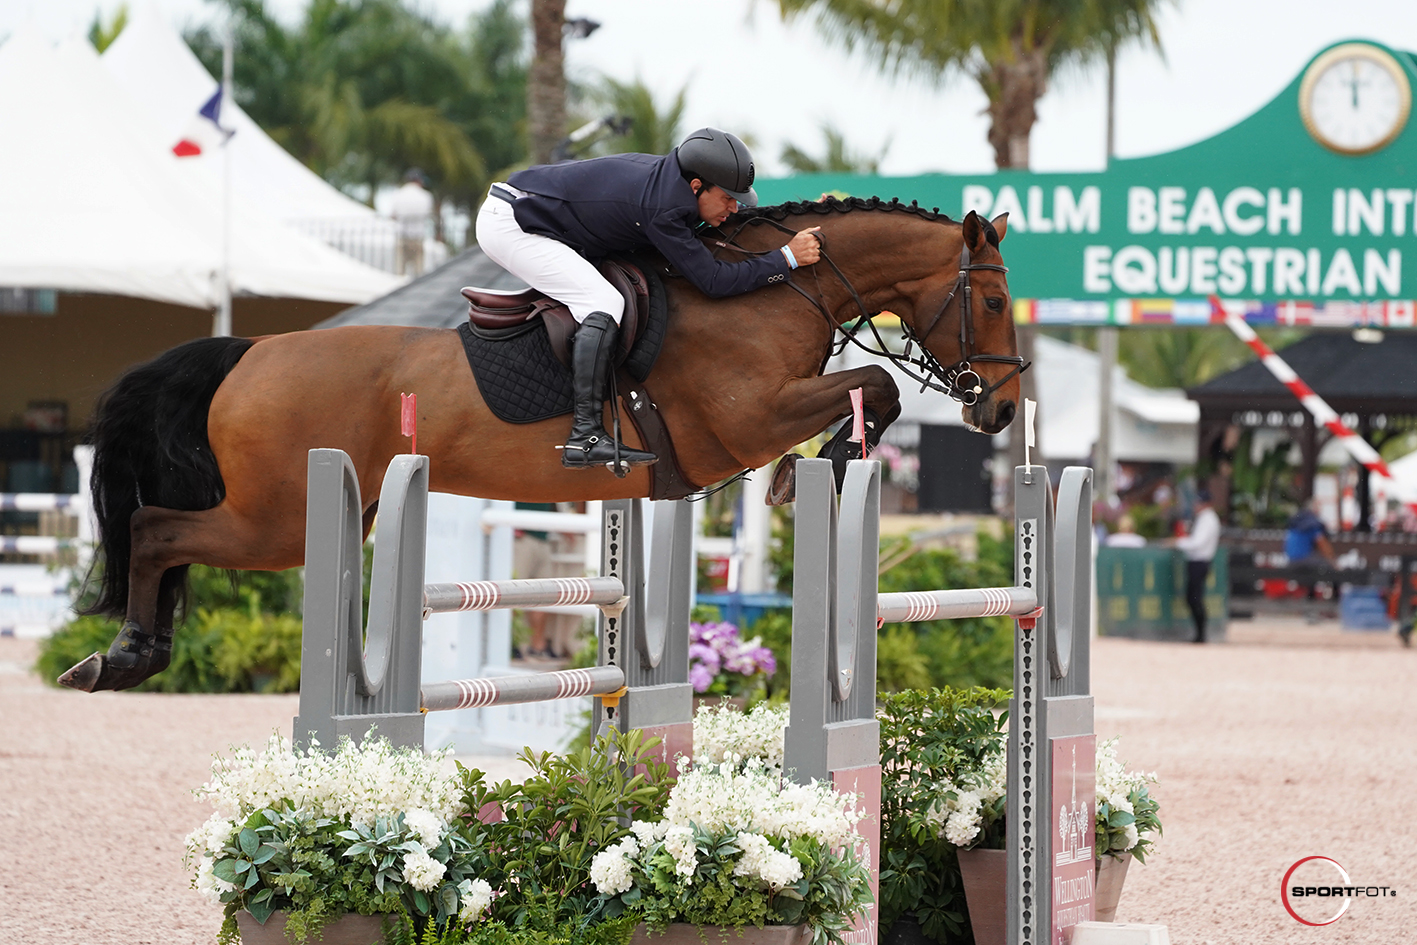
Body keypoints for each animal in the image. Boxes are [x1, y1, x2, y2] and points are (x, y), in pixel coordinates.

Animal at [60, 195, 1025, 691]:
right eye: (992, 301)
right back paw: (125, 656)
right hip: (275, 516)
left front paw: (822, 465)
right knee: (154, 529)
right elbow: (877, 386)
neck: (771, 291)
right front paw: (816, 466)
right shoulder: (748, 416)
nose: (1004, 412)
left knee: (162, 534)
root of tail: (250, 350)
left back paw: (131, 655)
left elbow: (873, 390)